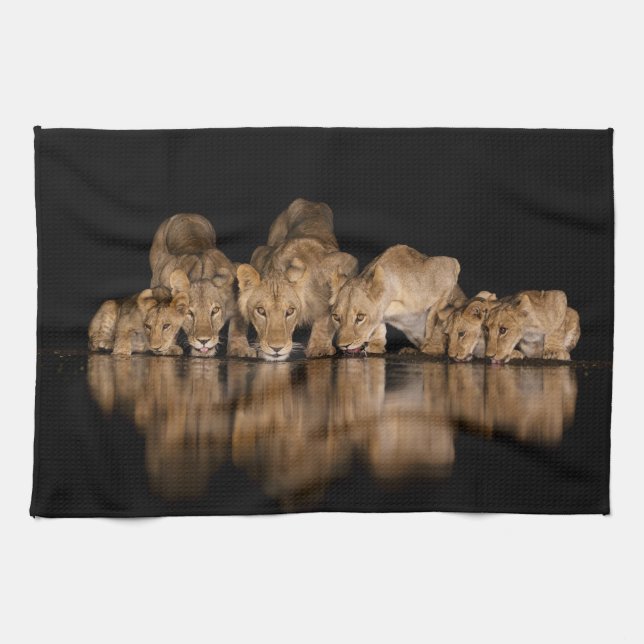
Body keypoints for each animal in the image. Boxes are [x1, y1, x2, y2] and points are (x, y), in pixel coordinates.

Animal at [150, 213, 253, 357]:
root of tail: (185, 213)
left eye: (215, 310)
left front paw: (240, 348)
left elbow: (238, 326)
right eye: (189, 312)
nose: (203, 341)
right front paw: (168, 347)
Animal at [236, 198, 358, 360]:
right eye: (261, 311)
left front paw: (319, 348)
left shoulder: (346, 262)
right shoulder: (260, 253)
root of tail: (310, 202)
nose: (276, 348)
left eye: (290, 311)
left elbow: (327, 314)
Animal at [330, 244, 461, 355]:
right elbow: (379, 325)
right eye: (336, 317)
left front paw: (432, 348)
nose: (343, 346)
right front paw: (376, 345)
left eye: (360, 317)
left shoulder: (450, 266)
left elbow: (434, 317)